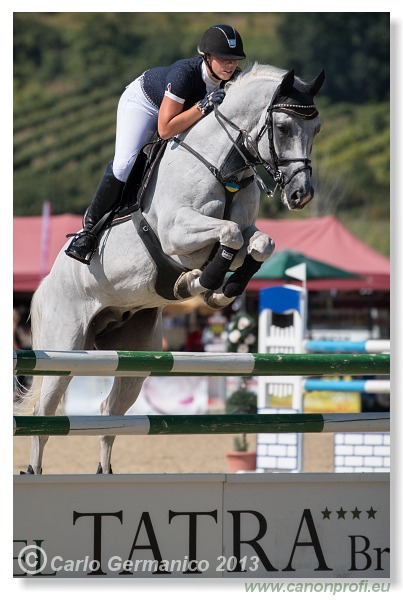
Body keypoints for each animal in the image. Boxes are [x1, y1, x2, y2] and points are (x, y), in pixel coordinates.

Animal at [17, 62, 326, 474]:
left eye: (316, 128)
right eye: (283, 128)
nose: (300, 195)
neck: (224, 167)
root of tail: (43, 287)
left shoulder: (243, 231)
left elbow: (258, 243)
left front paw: (218, 289)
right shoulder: (177, 233)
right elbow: (228, 235)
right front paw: (203, 283)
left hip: (135, 355)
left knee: (109, 411)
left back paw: (105, 473)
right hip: (63, 348)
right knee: (44, 412)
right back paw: (33, 472)